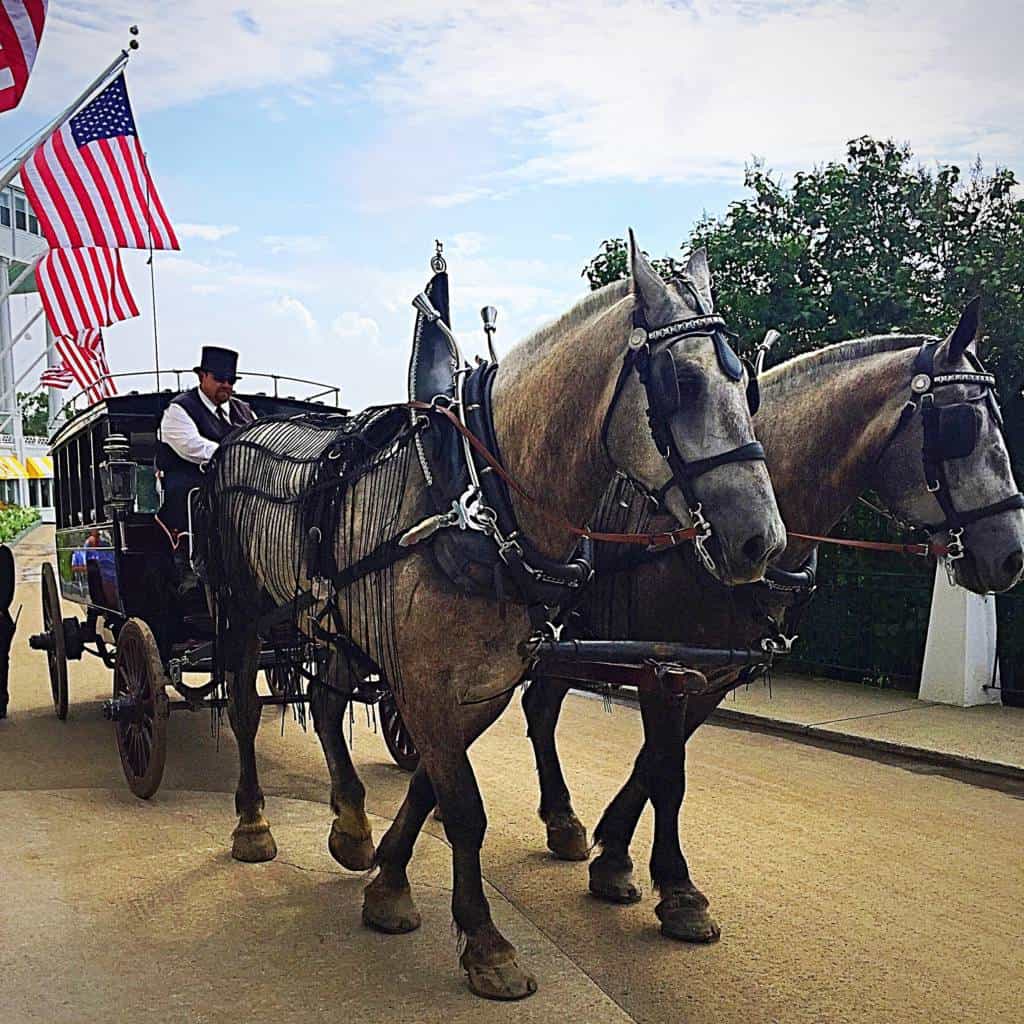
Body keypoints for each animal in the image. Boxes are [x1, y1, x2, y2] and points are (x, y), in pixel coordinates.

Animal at [203, 237, 786, 999]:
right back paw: (251, 822)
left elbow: (434, 787)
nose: (761, 541)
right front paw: (484, 941)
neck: (481, 502)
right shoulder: (426, 681)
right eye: (682, 384)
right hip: (246, 613)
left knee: (328, 707)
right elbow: (464, 810)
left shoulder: (480, 683)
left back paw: (351, 824)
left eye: (746, 387)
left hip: (339, 622)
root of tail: (247, 429)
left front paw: (388, 881)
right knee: (244, 710)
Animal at [520, 299, 1024, 942]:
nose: (1011, 555)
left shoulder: (709, 677)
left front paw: (613, 858)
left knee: (541, 707)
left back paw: (561, 820)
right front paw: (678, 892)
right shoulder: (665, 670)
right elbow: (669, 775)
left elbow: (652, 764)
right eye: (963, 424)